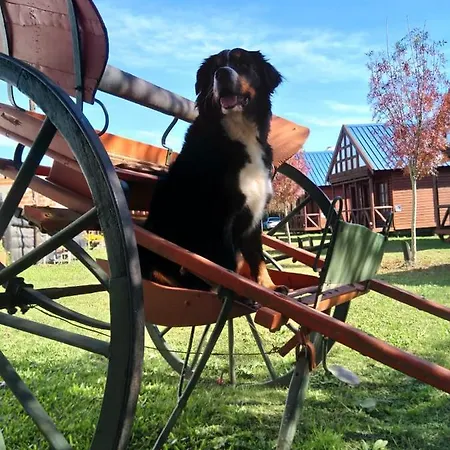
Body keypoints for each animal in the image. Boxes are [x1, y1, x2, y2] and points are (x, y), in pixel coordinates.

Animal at [139, 48, 287, 294]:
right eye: (215, 68)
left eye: (243, 64)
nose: (222, 73)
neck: (239, 134)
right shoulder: (220, 214)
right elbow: (226, 265)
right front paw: (237, 292)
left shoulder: (254, 213)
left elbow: (257, 257)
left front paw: (269, 287)